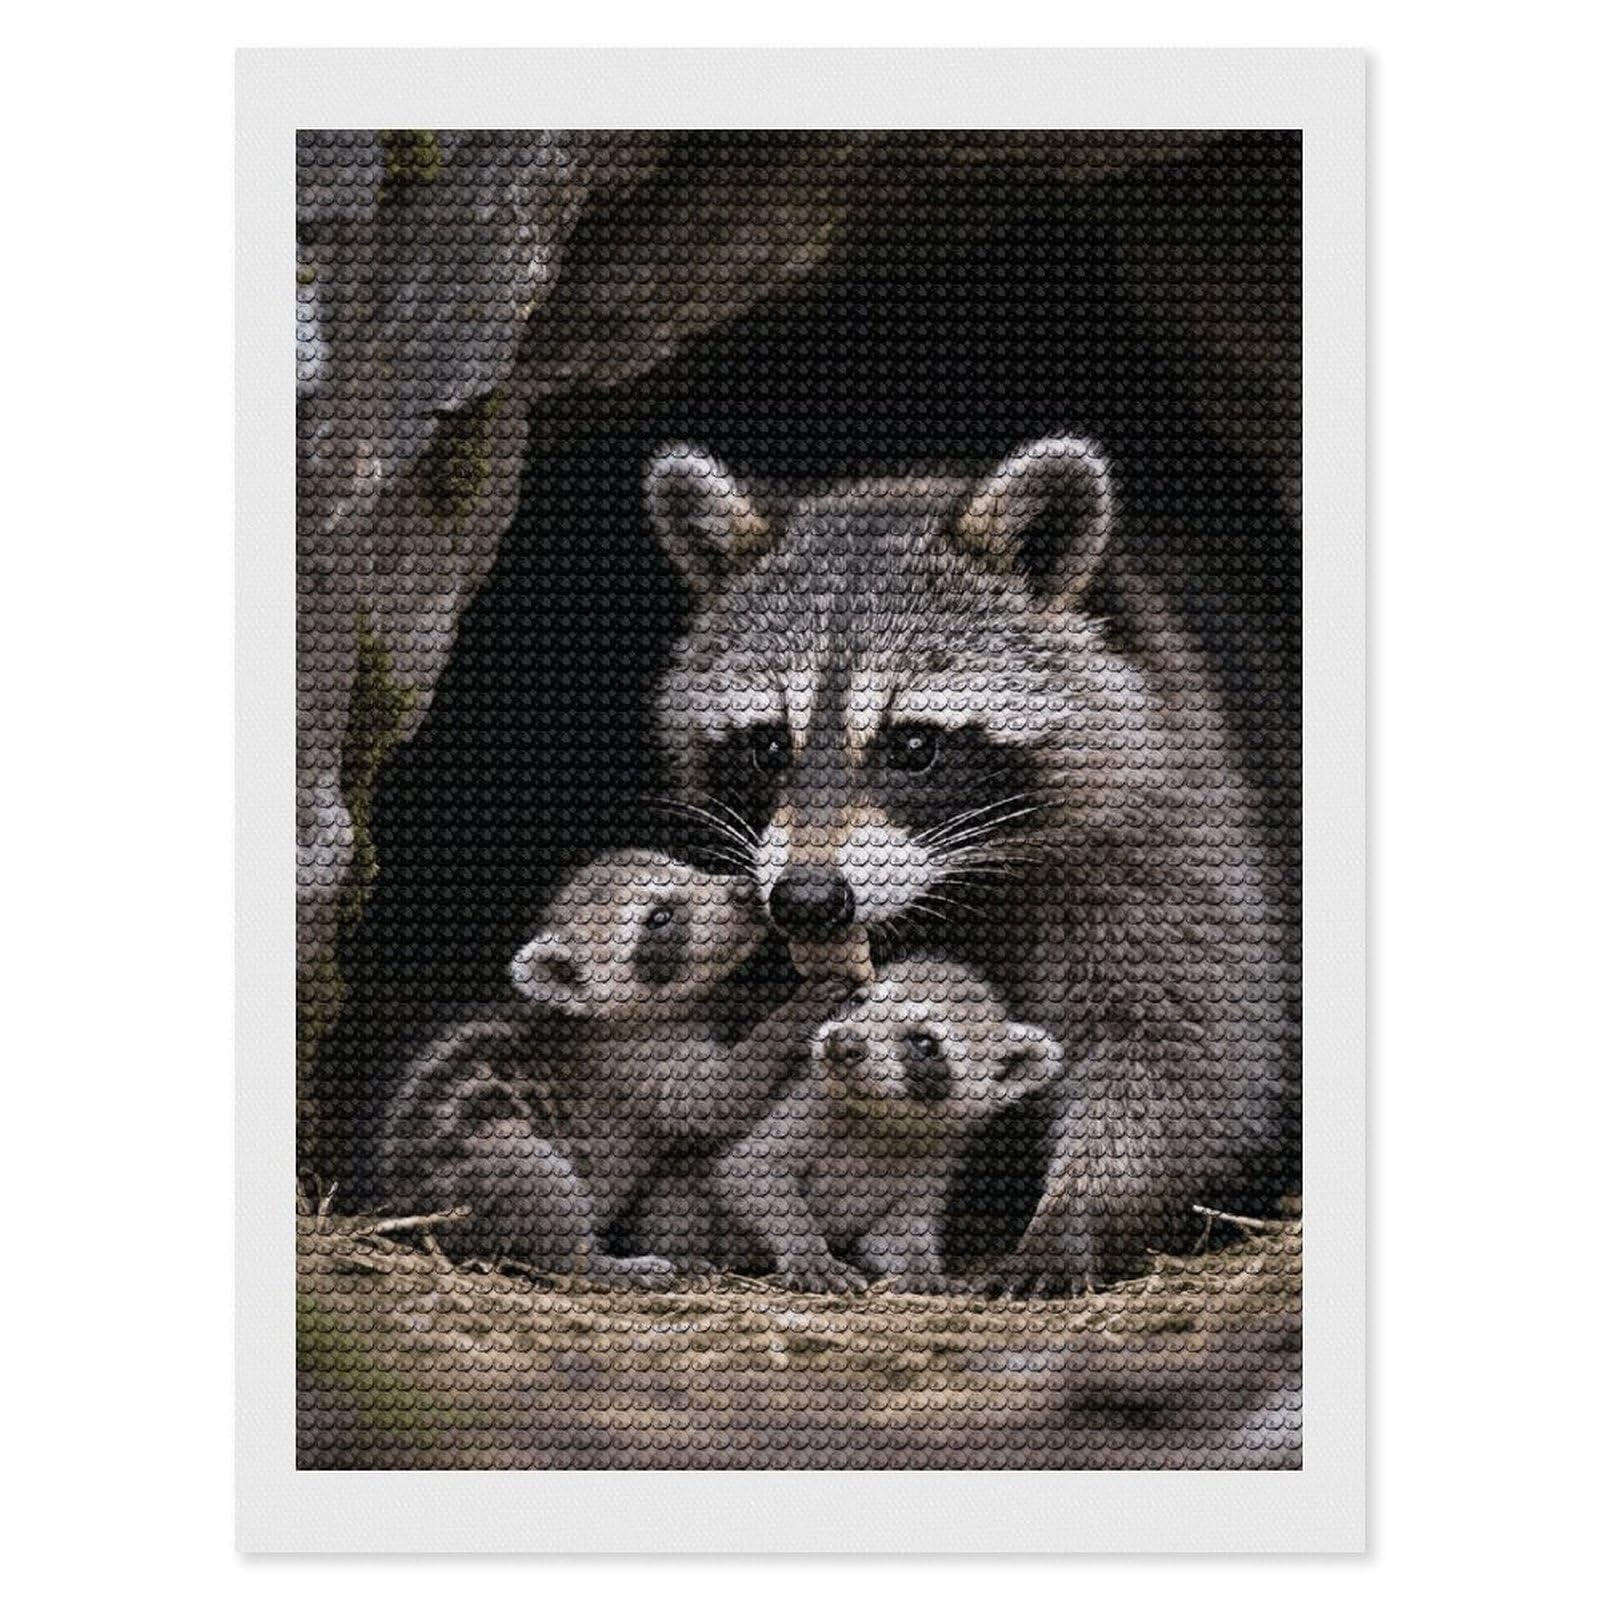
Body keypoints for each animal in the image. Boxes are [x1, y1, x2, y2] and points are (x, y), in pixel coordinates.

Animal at [713, 959, 1064, 1294]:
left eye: (924, 1043)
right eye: (857, 1001)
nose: (842, 1042)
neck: (880, 1120)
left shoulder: (932, 1165)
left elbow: (897, 1231)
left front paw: (920, 1266)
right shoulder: (802, 1110)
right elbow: (752, 1169)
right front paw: (808, 1250)